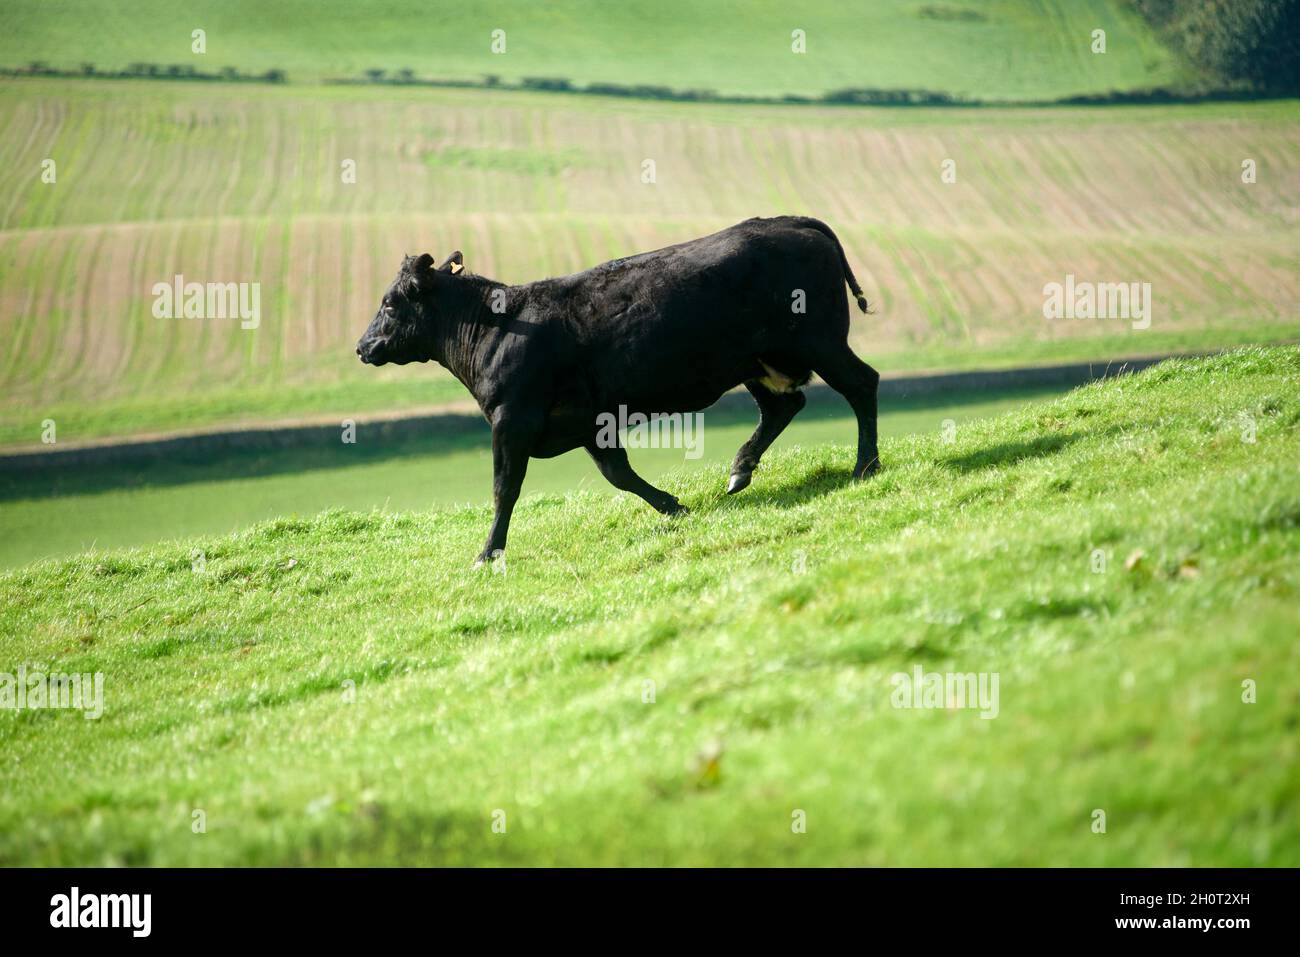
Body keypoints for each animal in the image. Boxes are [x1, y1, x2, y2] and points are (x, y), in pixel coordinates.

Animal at [358, 217, 883, 564]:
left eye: (389, 303)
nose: (362, 346)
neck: (497, 327)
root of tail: (787, 221)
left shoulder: (512, 419)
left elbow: (504, 488)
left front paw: (489, 553)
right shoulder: (592, 422)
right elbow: (619, 474)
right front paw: (674, 506)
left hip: (818, 341)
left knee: (862, 384)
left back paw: (865, 465)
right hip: (760, 361)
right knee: (783, 406)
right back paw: (739, 471)